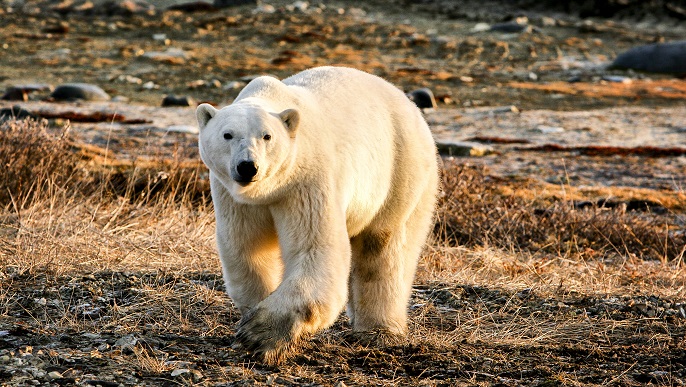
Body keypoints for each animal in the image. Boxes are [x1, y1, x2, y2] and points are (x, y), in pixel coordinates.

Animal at [196, 66, 438, 364]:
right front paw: (254, 311)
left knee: (384, 247)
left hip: (400, 169)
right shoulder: (234, 198)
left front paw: (261, 334)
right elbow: (247, 248)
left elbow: (314, 248)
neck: (269, 190)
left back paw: (379, 330)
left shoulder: (307, 180)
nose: (247, 167)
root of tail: (408, 104)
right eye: (227, 135)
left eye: (267, 136)